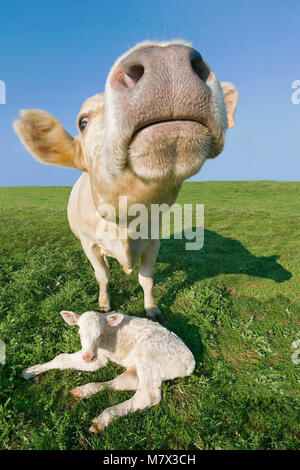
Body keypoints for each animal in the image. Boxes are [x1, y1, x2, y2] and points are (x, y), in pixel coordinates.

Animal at [13, 40, 239, 320]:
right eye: (83, 122)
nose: (166, 58)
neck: (126, 221)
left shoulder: (153, 242)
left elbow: (146, 279)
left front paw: (152, 308)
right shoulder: (89, 244)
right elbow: (102, 275)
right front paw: (104, 304)